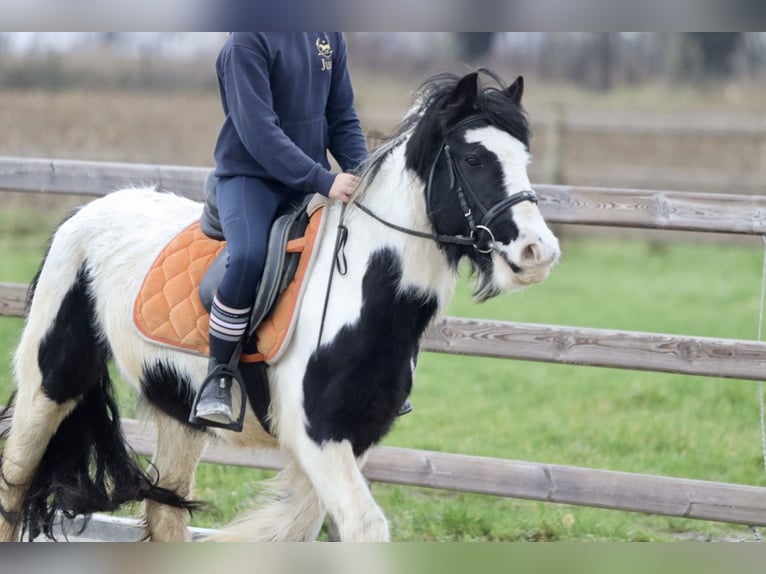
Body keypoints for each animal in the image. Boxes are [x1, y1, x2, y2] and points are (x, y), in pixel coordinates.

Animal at [0, 70, 564, 544]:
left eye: (524, 160)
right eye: (474, 159)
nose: (538, 252)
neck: (362, 295)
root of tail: (83, 213)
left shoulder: (355, 436)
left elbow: (301, 527)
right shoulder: (317, 435)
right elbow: (362, 528)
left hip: (180, 410)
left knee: (165, 513)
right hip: (48, 387)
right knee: (13, 485)